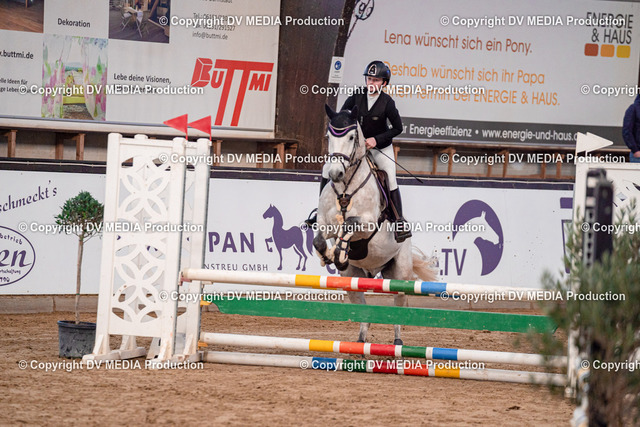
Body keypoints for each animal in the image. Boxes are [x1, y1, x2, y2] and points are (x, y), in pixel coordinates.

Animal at [312, 104, 437, 345]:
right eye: (330, 136)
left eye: (352, 137)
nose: (335, 173)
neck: (345, 187)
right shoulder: (325, 223)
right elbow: (319, 240)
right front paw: (328, 256)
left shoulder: (367, 224)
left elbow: (349, 225)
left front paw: (339, 253)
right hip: (352, 277)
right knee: (361, 307)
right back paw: (360, 341)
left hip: (399, 273)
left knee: (399, 303)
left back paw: (398, 342)